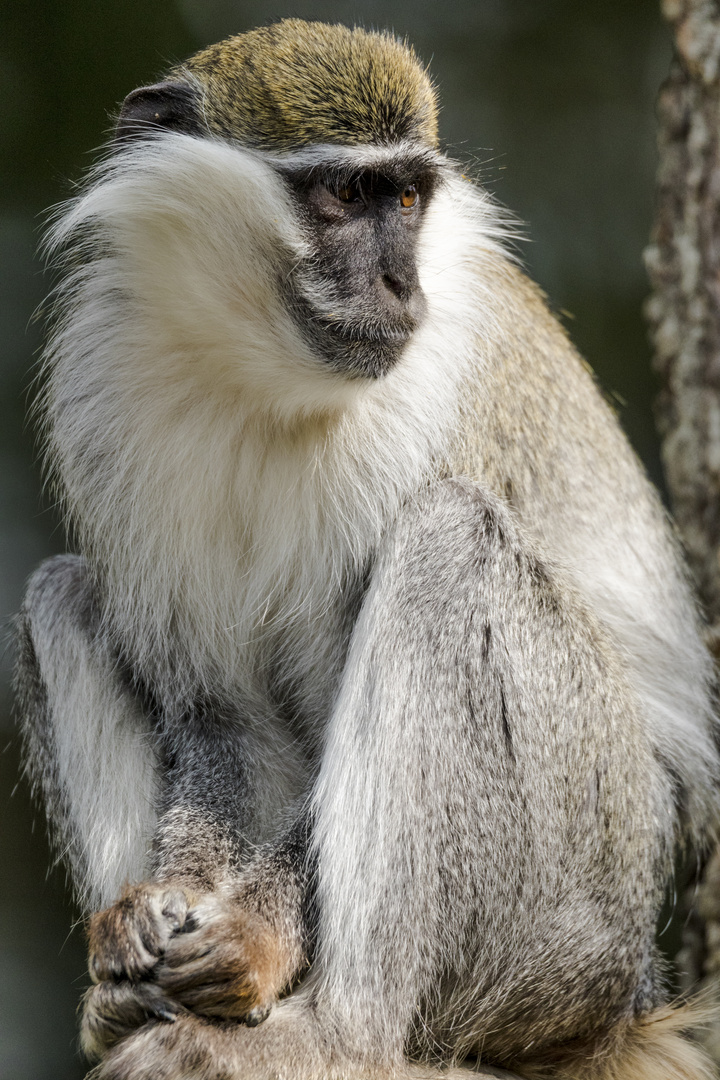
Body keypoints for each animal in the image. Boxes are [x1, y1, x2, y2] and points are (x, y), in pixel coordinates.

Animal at [14, 16, 720, 1080]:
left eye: (409, 198)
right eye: (347, 196)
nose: (401, 283)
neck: (264, 369)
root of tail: (622, 1009)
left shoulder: (438, 384)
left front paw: (252, 937)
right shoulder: (100, 390)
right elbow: (221, 719)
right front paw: (154, 913)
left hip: (577, 899)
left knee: (448, 538)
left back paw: (334, 1035)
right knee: (59, 592)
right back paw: (122, 1006)